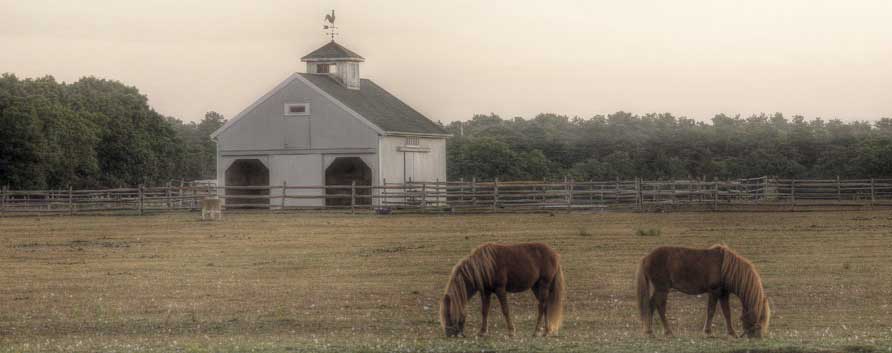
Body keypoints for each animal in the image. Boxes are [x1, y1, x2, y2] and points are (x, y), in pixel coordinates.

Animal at [636, 243, 772, 336]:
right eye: (760, 317)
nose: (758, 337)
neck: (726, 268)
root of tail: (647, 258)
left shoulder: (723, 293)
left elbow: (727, 312)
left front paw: (732, 332)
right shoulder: (714, 291)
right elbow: (711, 311)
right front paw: (708, 331)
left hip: (660, 289)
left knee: (651, 305)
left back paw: (650, 331)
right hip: (662, 289)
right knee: (659, 306)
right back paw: (667, 331)